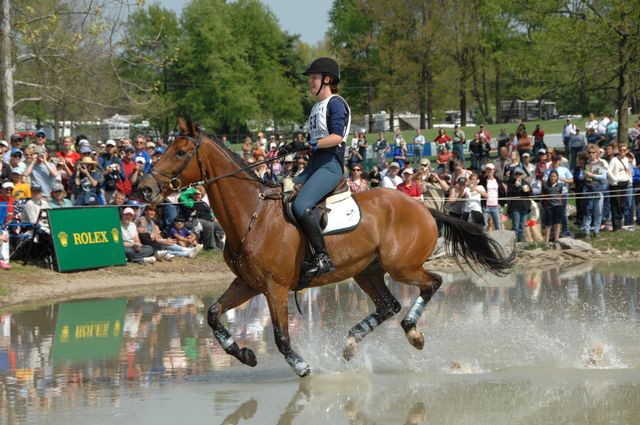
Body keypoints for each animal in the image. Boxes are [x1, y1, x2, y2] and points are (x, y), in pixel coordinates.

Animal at [139, 117, 516, 376]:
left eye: (181, 152)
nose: (144, 188)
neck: (252, 214)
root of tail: (423, 207)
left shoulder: (274, 288)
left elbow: (281, 337)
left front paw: (303, 368)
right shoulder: (248, 283)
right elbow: (213, 313)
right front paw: (242, 353)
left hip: (402, 266)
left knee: (431, 284)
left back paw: (413, 333)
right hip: (367, 271)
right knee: (389, 305)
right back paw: (351, 344)